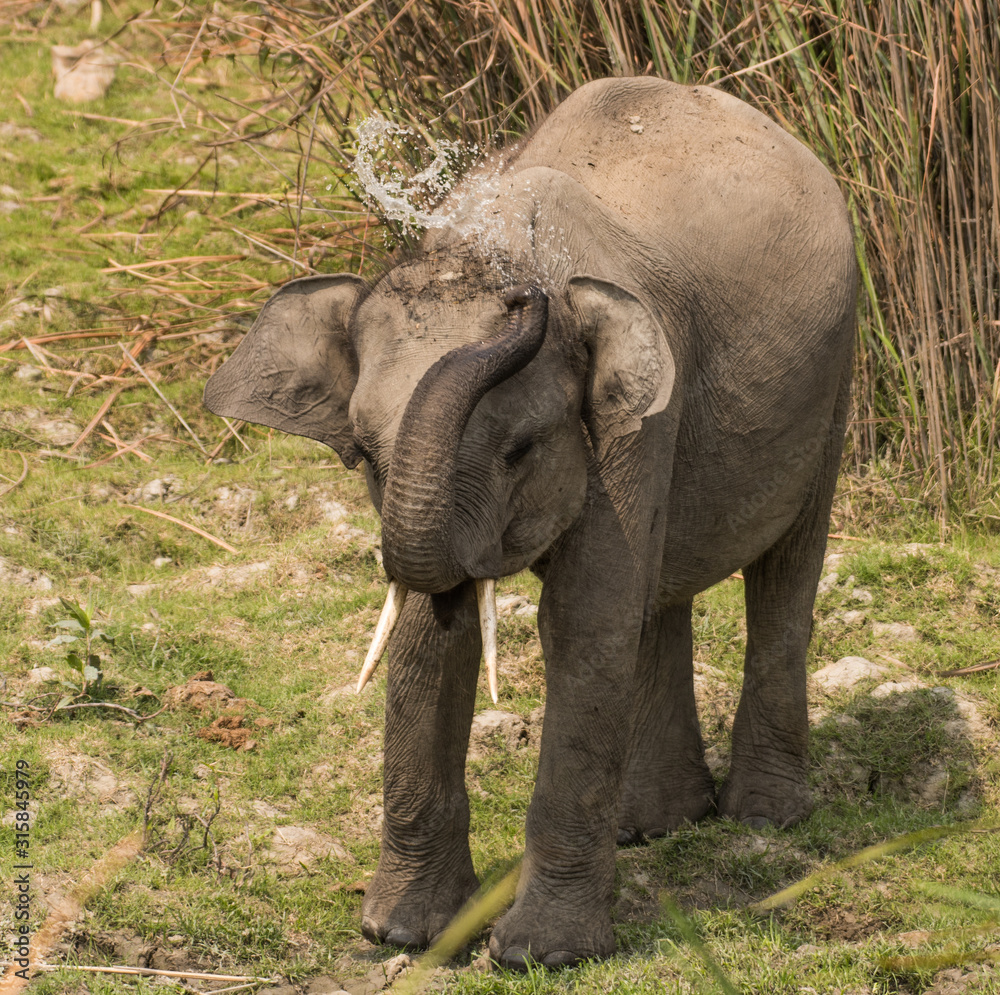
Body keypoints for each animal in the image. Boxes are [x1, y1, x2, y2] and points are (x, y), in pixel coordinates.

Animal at [203, 76, 857, 968]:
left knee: (784, 574)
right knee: (661, 596)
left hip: (837, 374)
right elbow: (429, 636)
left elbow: (581, 624)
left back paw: (762, 816)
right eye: (366, 455)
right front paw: (400, 932)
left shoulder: (636, 421)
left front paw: (537, 954)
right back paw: (654, 825)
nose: (526, 300)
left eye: (520, 448)